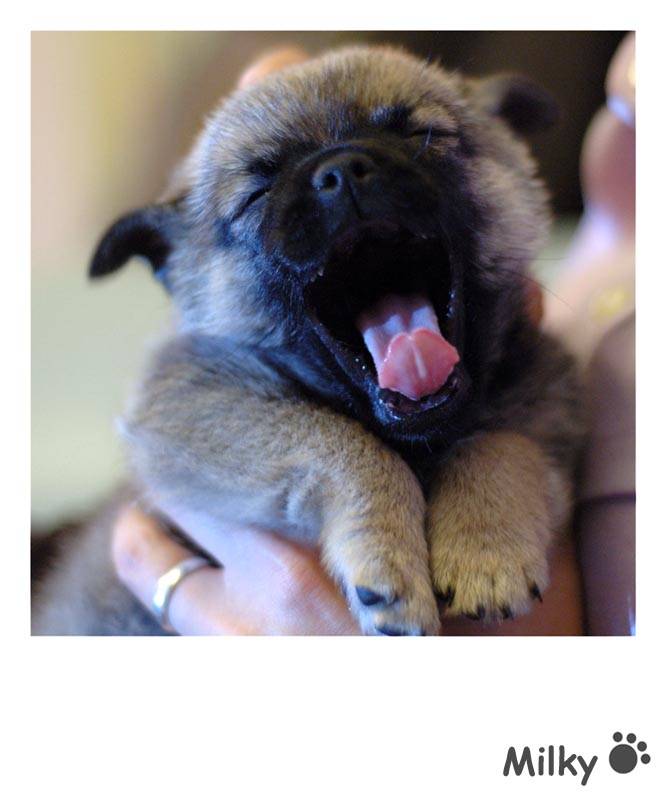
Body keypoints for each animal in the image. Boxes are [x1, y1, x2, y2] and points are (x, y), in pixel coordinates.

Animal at [32, 46, 584, 635]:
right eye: (256, 194)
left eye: (423, 135)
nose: (342, 171)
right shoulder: (198, 408)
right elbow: (342, 444)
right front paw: (388, 560)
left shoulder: (547, 400)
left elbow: (502, 442)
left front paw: (487, 543)